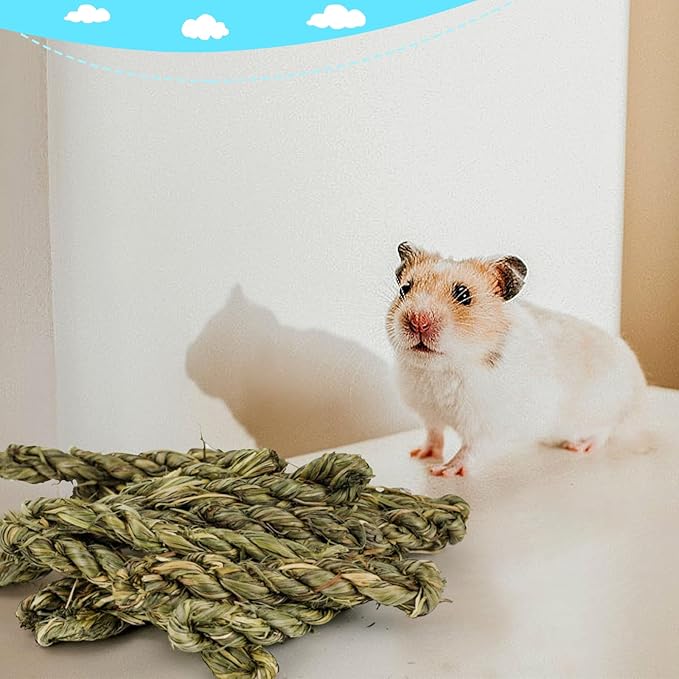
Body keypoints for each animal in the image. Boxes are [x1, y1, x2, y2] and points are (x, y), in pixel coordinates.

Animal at [385, 242, 648, 477]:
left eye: (463, 294)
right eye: (404, 289)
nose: (418, 321)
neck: (440, 369)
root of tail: (638, 389)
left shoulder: (487, 424)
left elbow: (469, 449)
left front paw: (443, 471)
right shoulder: (428, 411)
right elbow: (433, 433)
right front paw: (420, 454)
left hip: (604, 408)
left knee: (605, 431)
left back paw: (579, 446)